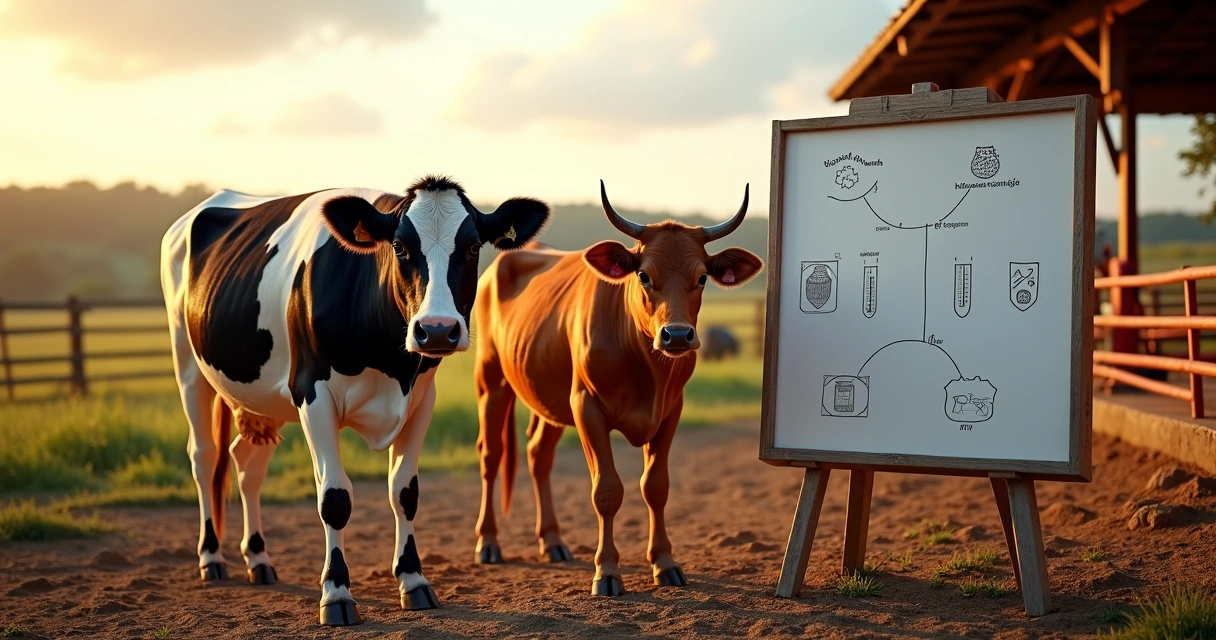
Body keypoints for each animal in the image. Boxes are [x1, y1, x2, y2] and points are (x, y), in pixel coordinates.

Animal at [159, 176, 549, 625]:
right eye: (399, 247)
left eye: (472, 247)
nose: (437, 329)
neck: (389, 361)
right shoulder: (312, 394)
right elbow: (334, 498)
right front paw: (336, 594)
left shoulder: (421, 398)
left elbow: (405, 492)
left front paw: (413, 580)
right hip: (188, 364)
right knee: (205, 458)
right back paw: (211, 558)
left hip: (263, 396)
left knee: (246, 463)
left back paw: (258, 558)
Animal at [471, 181, 763, 595]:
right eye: (643, 276)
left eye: (703, 277)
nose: (676, 335)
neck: (646, 366)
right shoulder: (587, 407)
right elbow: (607, 491)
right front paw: (606, 571)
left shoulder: (670, 411)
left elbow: (656, 486)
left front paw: (665, 563)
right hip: (491, 381)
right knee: (491, 453)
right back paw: (489, 542)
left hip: (549, 395)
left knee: (538, 454)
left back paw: (553, 541)